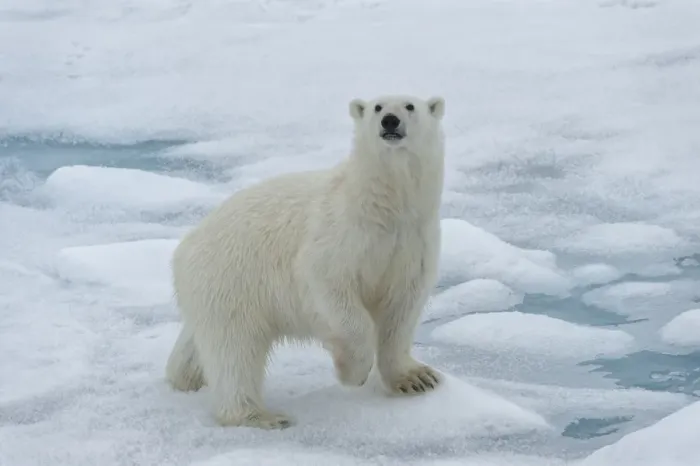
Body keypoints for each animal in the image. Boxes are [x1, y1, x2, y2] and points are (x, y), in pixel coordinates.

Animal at [166, 94, 447, 429]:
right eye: (378, 107)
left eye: (409, 106)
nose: (389, 121)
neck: (386, 207)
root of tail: (184, 249)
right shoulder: (341, 235)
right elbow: (331, 287)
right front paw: (351, 371)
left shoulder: (413, 242)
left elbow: (402, 310)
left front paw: (416, 377)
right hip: (231, 279)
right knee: (234, 350)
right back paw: (259, 415)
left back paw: (184, 377)